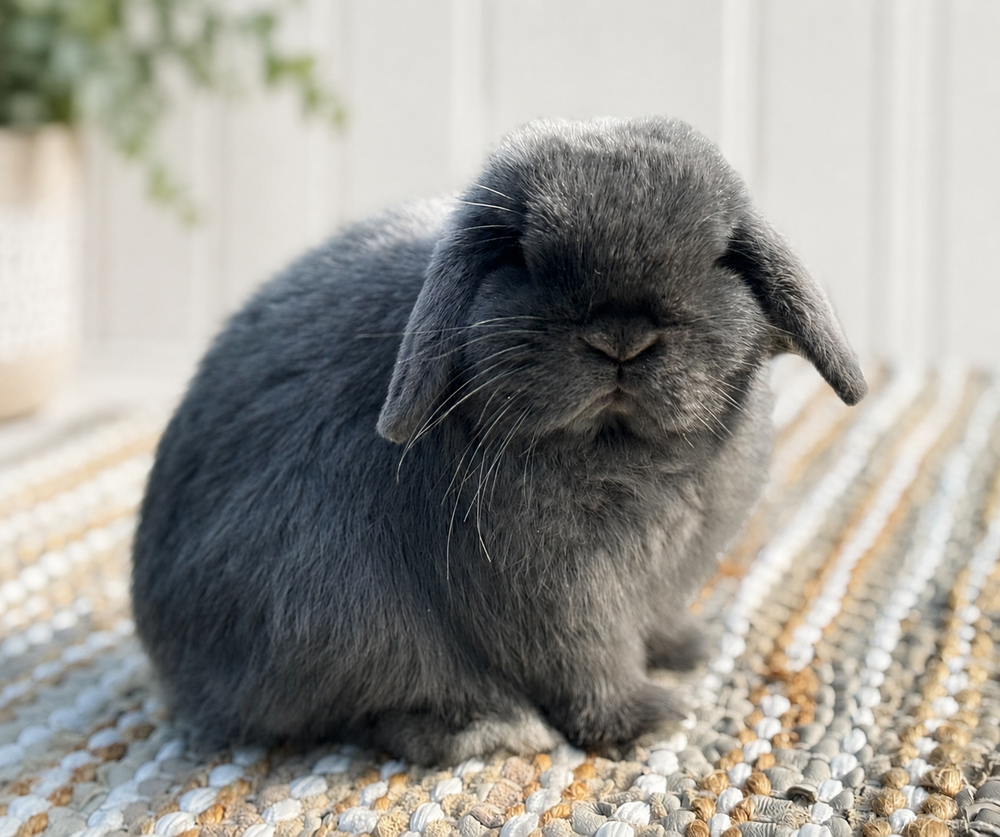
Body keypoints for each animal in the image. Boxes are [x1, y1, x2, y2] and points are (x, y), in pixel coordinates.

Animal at [131, 116, 867, 766]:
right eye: (521, 257)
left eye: (718, 258)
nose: (620, 335)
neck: (620, 450)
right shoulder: (548, 591)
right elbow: (584, 661)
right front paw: (645, 721)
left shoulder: (658, 577)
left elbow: (650, 621)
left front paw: (687, 649)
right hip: (333, 614)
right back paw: (490, 729)